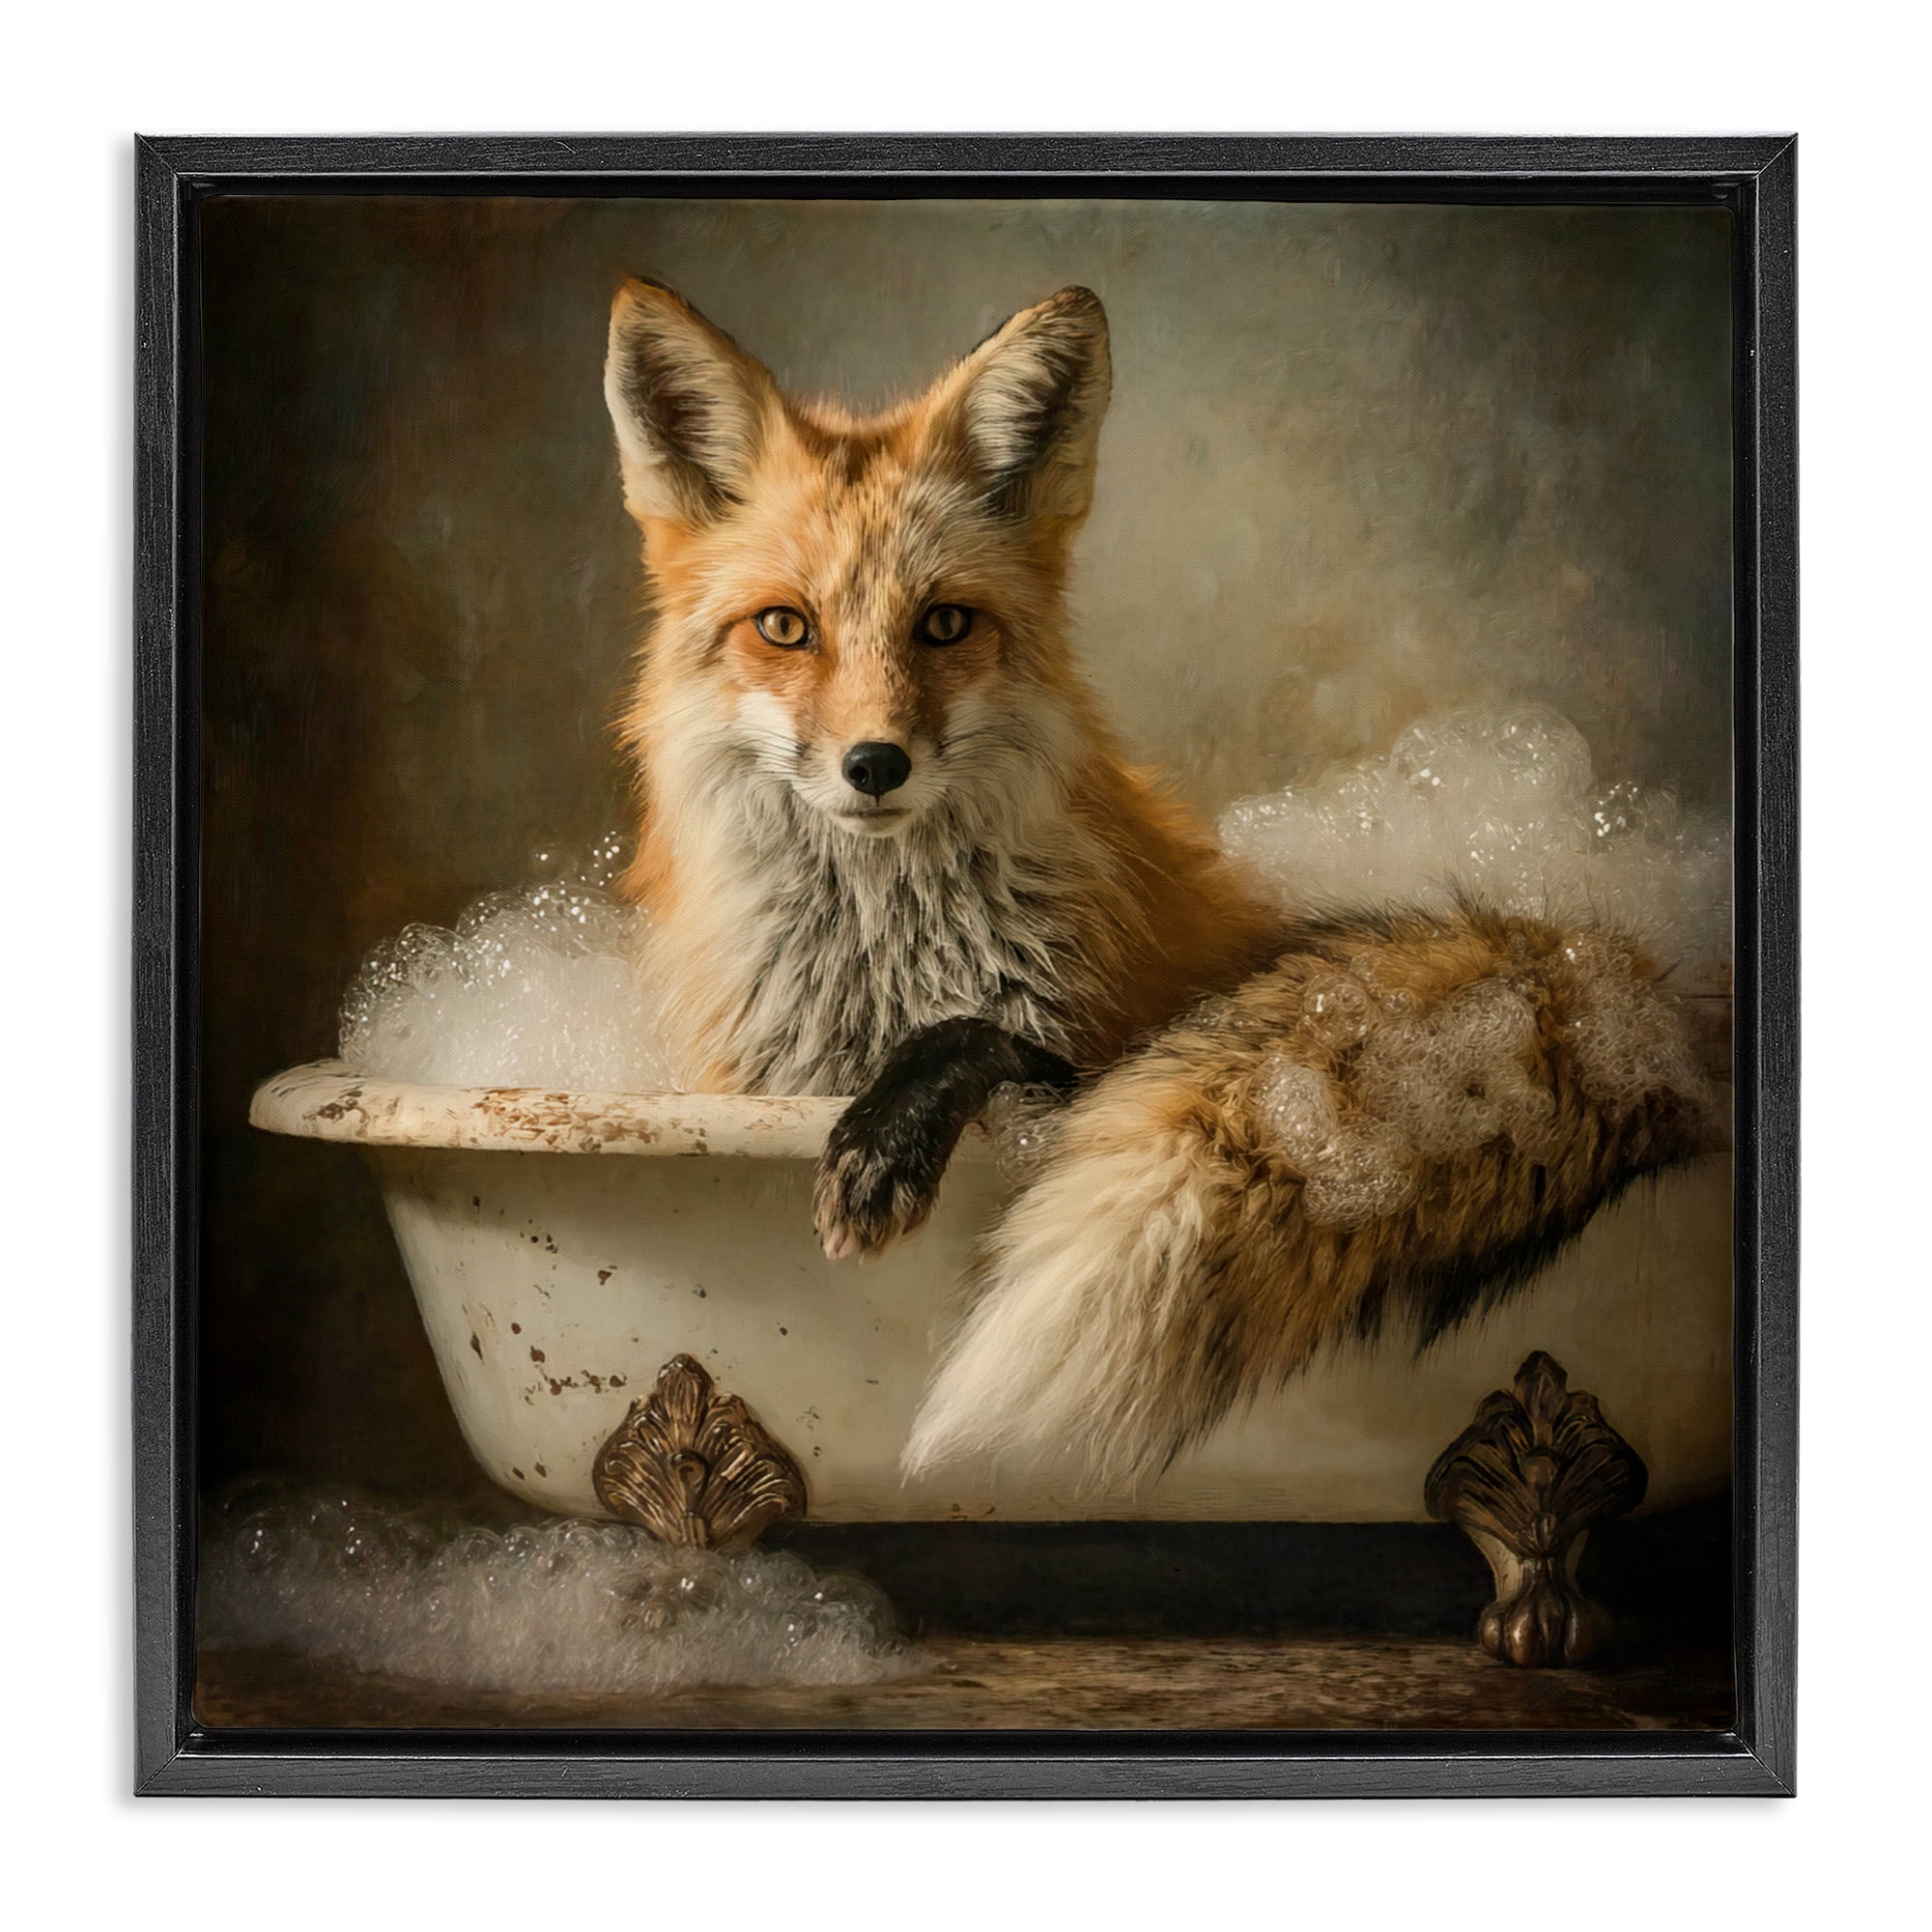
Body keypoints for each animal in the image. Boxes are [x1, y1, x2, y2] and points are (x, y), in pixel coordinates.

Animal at [602, 276, 1713, 1488]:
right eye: (784, 627)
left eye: (943, 623)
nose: (875, 764)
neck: (882, 965)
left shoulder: (1090, 1039)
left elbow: (974, 1031)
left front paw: (882, 1141)